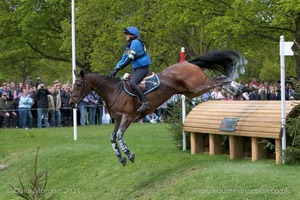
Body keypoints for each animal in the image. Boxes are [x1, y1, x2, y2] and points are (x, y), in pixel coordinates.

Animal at [69, 50, 247, 166]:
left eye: (77, 84)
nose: (71, 103)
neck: (113, 91)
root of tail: (187, 62)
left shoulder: (128, 117)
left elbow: (119, 136)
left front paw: (129, 154)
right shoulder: (118, 120)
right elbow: (112, 138)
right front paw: (121, 158)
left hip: (197, 86)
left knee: (220, 79)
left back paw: (238, 89)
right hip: (191, 92)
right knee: (219, 79)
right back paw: (239, 90)